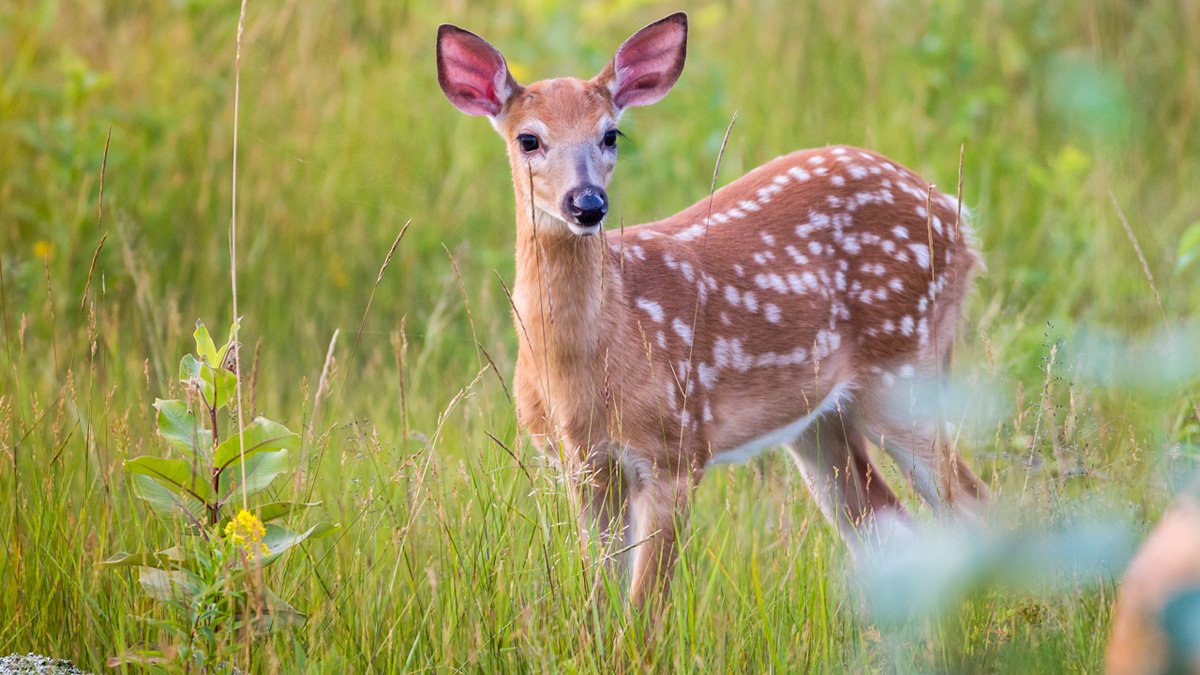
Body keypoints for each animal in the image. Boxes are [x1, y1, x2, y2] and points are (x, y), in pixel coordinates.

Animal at [436, 11, 988, 609]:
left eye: (611, 133)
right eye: (528, 139)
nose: (587, 204)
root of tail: (957, 215)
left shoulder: (677, 449)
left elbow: (644, 613)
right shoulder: (580, 467)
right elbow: (598, 602)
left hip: (906, 370)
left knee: (974, 506)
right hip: (818, 417)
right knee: (888, 525)